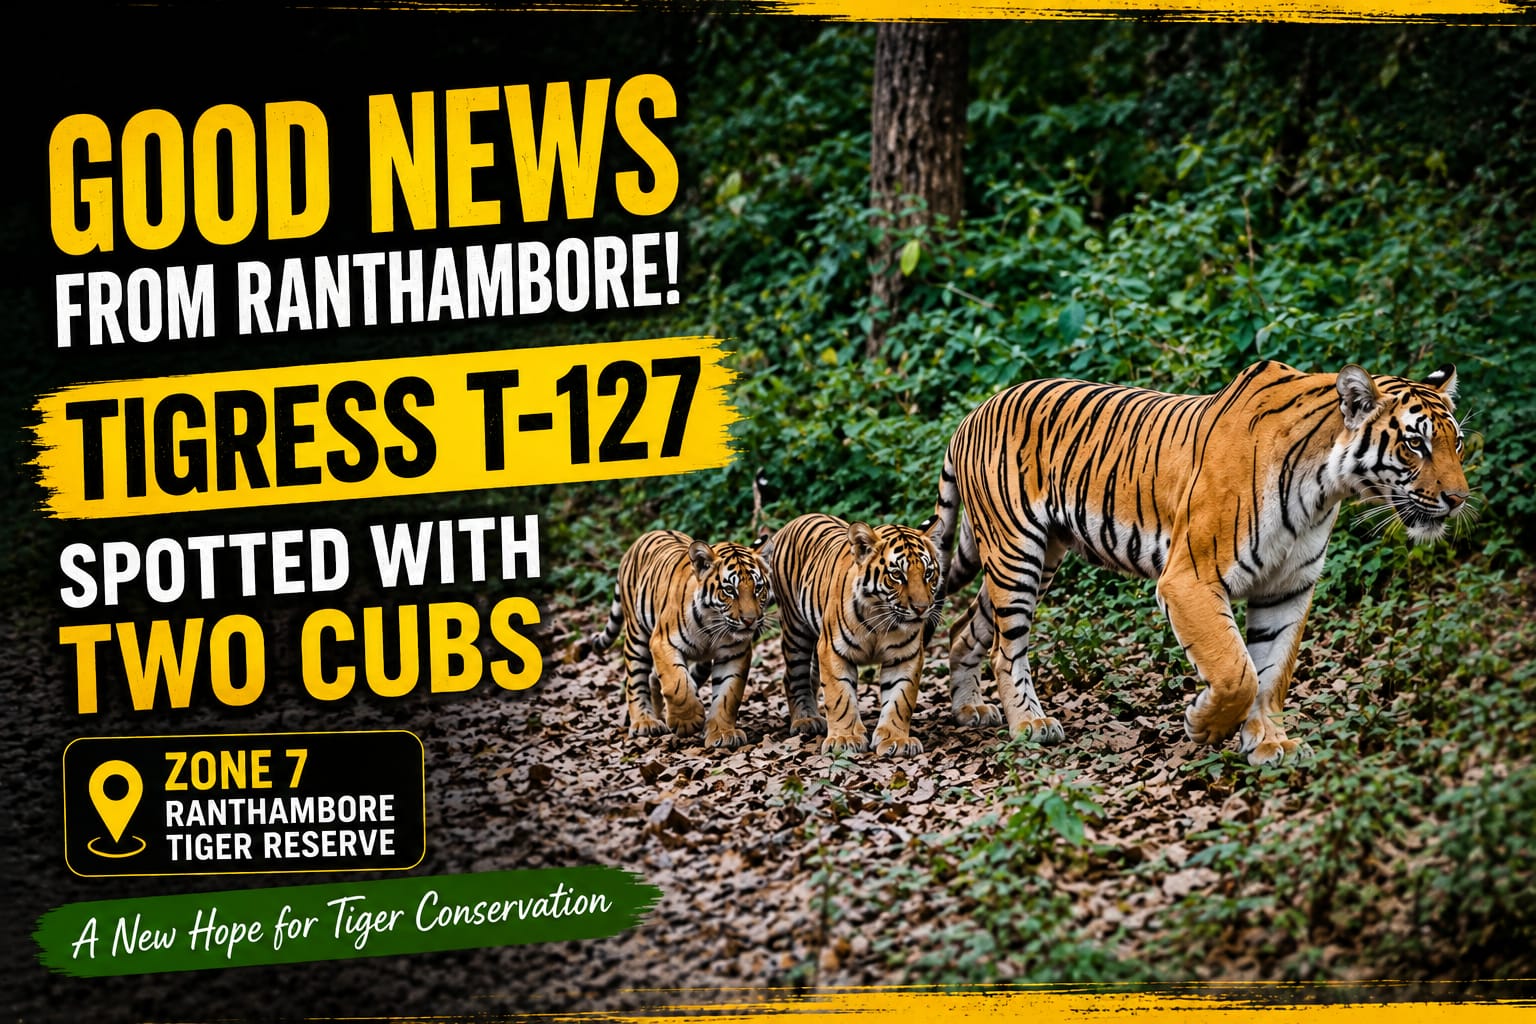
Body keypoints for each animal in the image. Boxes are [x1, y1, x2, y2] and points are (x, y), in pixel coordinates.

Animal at [589, 530, 772, 748]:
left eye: (758, 588)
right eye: (729, 590)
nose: (750, 620)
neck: (713, 625)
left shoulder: (734, 653)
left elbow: (728, 695)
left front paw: (722, 733)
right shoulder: (662, 642)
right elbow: (678, 684)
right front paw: (687, 722)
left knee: (656, 677)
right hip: (636, 636)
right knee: (635, 681)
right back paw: (645, 722)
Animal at [761, 512, 944, 757]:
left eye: (928, 573)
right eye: (897, 575)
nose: (922, 608)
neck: (880, 619)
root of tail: (791, 523)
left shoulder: (906, 656)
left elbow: (900, 698)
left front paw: (896, 740)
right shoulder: (832, 650)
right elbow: (840, 696)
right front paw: (844, 739)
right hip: (795, 630)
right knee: (793, 676)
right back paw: (805, 720)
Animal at [933, 360, 1471, 766]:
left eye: (1457, 442)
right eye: (1415, 443)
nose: (1459, 499)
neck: (1323, 487)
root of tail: (973, 413)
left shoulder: (1288, 586)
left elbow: (1272, 672)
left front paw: (1269, 744)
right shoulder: (1189, 577)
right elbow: (1237, 670)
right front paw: (1205, 726)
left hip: (1039, 558)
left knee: (964, 629)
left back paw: (970, 709)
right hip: (1016, 551)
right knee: (1006, 649)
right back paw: (1030, 724)